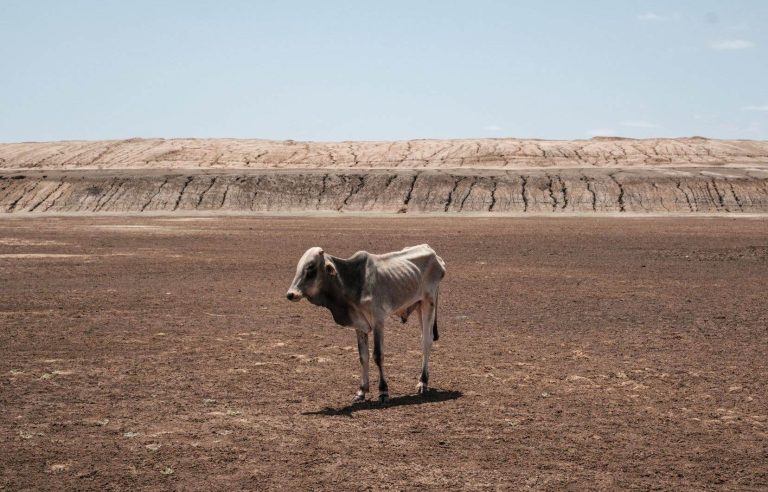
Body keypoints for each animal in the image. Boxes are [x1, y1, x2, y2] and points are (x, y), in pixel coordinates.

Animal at [286, 244, 444, 402]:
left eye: (310, 267)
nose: (290, 294)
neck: (352, 281)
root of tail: (433, 253)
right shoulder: (359, 325)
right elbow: (363, 356)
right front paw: (361, 391)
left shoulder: (378, 320)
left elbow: (378, 355)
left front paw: (383, 390)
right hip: (418, 305)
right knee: (424, 338)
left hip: (428, 302)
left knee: (426, 341)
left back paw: (422, 382)